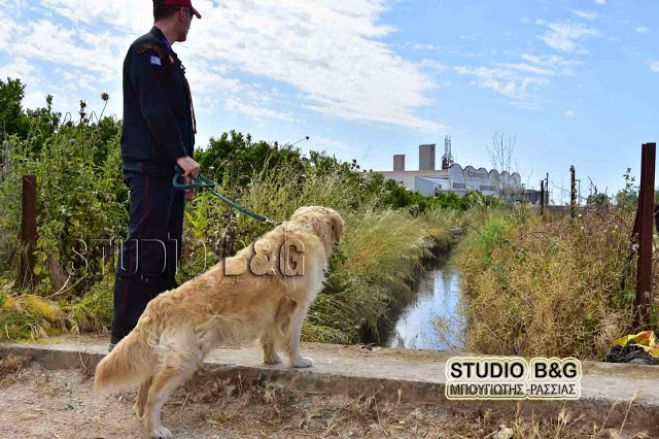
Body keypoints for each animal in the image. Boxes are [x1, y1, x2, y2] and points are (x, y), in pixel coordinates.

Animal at [98, 207, 348, 439]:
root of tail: (159, 303)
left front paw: (272, 360)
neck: (305, 228)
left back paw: (141, 415)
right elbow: (292, 340)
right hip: (185, 359)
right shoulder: (296, 308)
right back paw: (156, 428)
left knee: (145, 385)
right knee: (155, 394)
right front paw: (298, 362)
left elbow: (268, 338)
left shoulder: (271, 310)